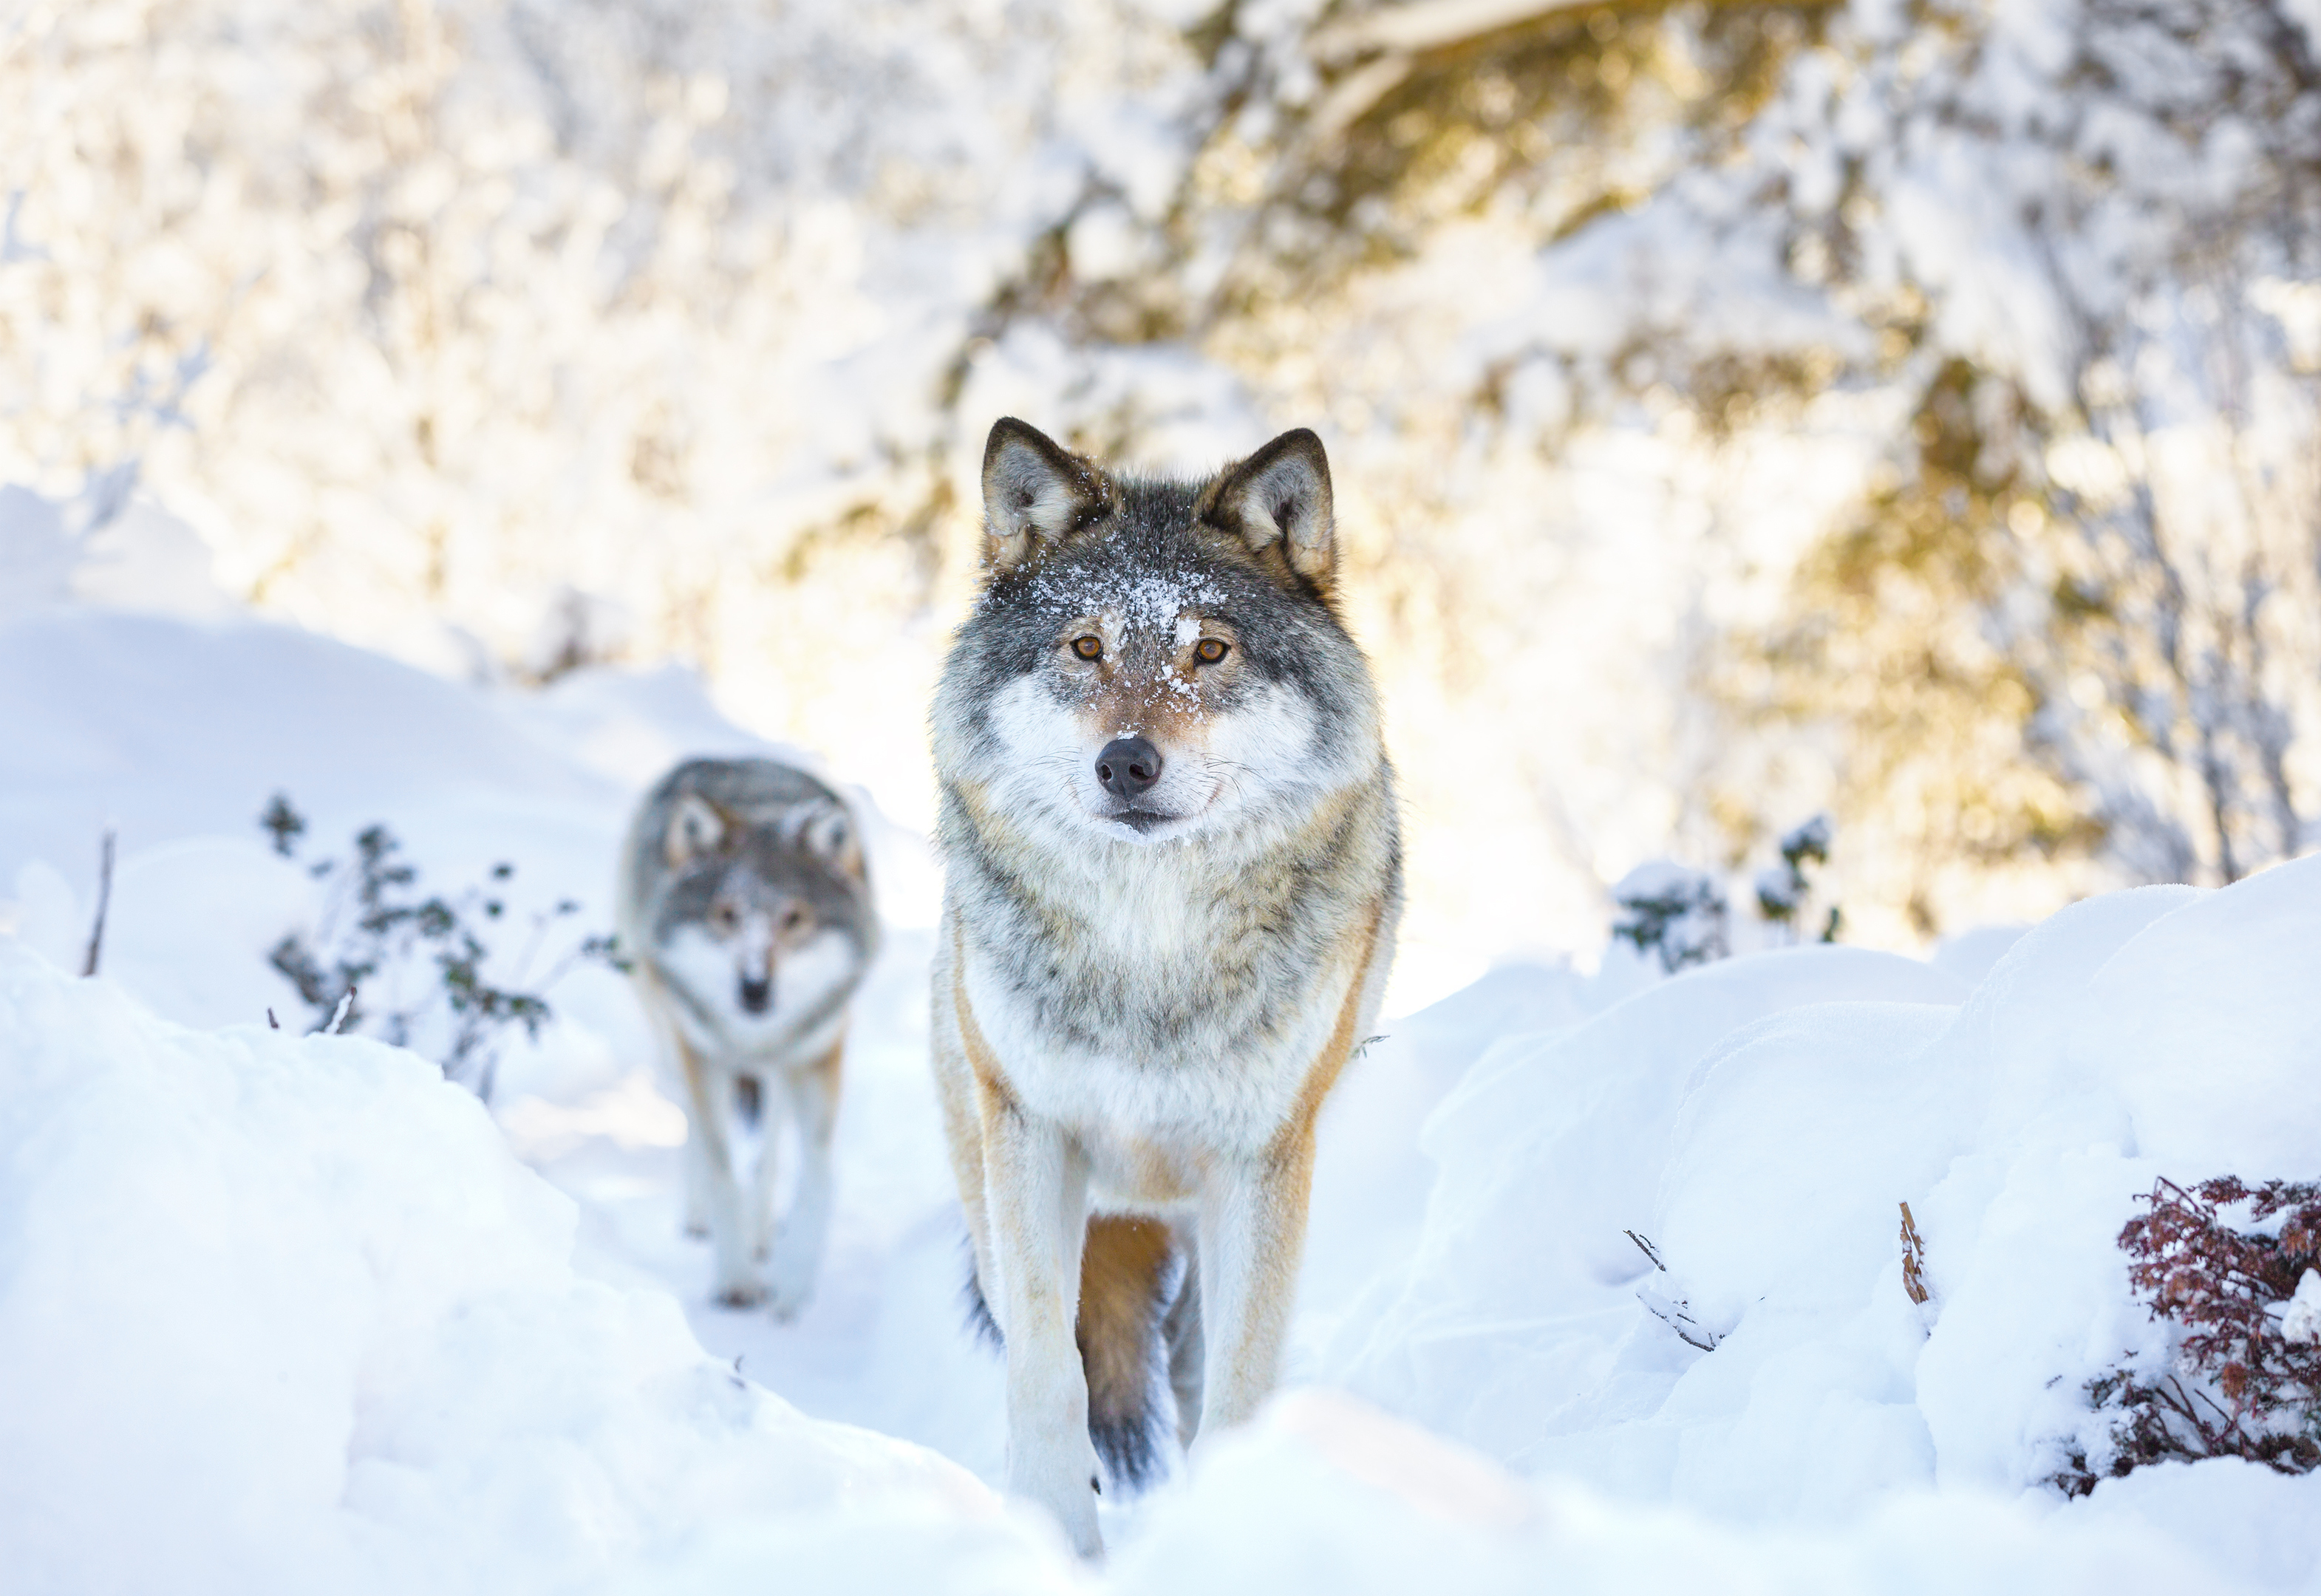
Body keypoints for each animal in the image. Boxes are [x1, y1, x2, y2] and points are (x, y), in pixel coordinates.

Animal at [617, 756, 877, 1317]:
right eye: (726, 915)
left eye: (794, 917)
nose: (754, 989)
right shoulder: (702, 1053)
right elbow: (721, 1170)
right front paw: (735, 1278)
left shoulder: (817, 1053)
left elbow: (817, 1175)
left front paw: (793, 1281)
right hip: (672, 1039)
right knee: (695, 1128)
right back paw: (701, 1218)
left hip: (779, 1069)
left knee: (770, 1147)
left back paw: (762, 1233)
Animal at [924, 417, 1392, 1549]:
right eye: (1086, 648)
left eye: (1209, 651)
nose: (1126, 763)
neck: (1148, 950)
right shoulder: (1033, 1138)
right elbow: (1050, 1376)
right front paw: (1052, 1541)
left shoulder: (1262, 1163)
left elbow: (1238, 1387)